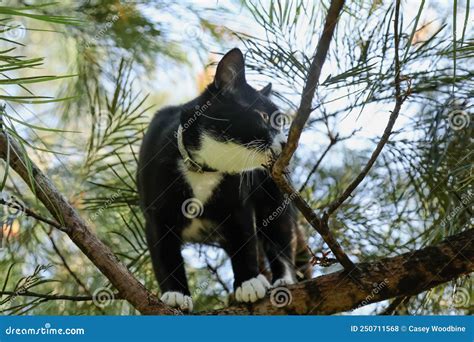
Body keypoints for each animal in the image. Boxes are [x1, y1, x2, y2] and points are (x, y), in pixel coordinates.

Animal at [137, 48, 308, 312]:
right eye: (262, 116)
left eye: (281, 124)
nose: (285, 143)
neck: (204, 169)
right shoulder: (157, 213)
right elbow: (164, 253)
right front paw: (176, 294)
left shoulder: (238, 203)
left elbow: (244, 240)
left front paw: (248, 282)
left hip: (273, 193)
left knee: (280, 234)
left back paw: (282, 279)